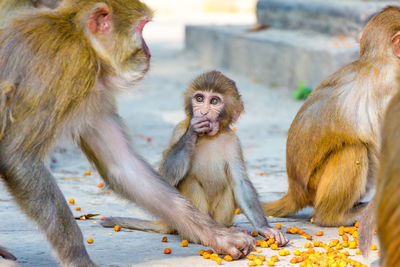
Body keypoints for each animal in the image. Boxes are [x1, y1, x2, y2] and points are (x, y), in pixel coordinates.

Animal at [0, 1, 255, 266]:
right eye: (141, 28)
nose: (148, 51)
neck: (81, 39)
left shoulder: (96, 94)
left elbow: (123, 168)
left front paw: (219, 236)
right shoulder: (68, 67)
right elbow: (19, 159)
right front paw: (77, 258)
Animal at [101, 71, 290, 247]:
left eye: (214, 101)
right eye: (199, 98)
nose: (203, 112)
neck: (210, 137)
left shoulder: (233, 141)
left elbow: (240, 183)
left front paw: (264, 227)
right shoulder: (179, 129)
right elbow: (165, 178)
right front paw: (193, 132)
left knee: (230, 186)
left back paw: (225, 229)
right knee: (189, 181)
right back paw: (202, 233)